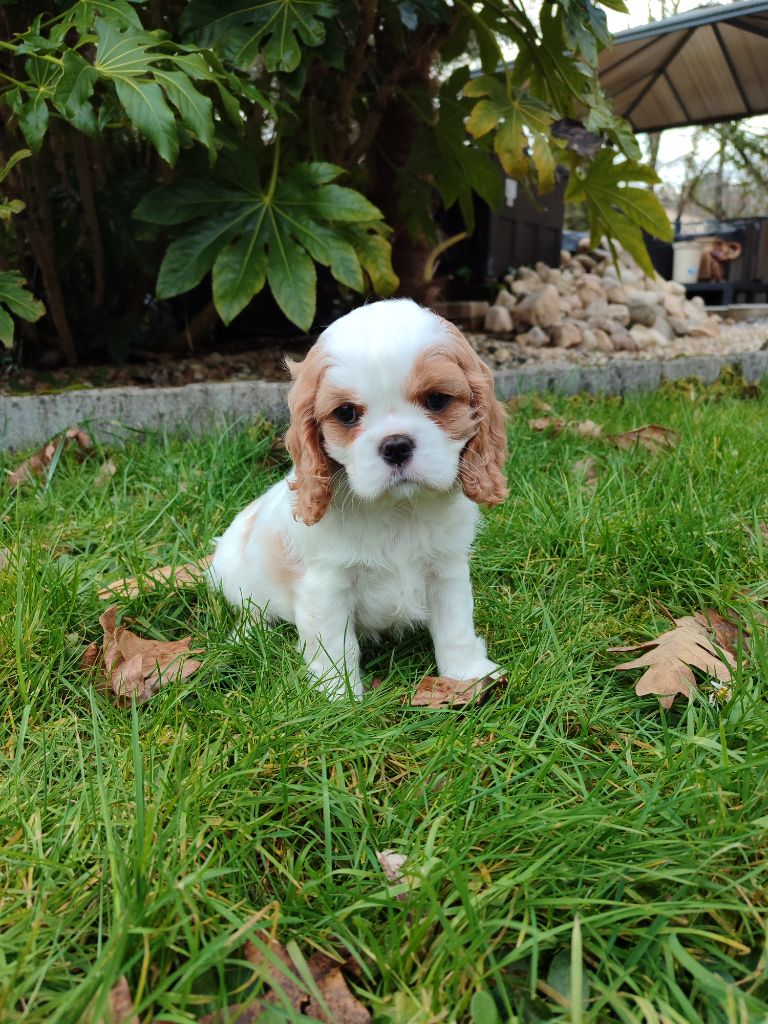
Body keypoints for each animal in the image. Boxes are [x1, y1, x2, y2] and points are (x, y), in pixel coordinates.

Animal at [210, 296, 512, 696]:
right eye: (346, 413)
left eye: (437, 400)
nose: (396, 445)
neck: (398, 510)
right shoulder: (327, 587)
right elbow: (337, 647)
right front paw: (340, 698)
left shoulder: (446, 570)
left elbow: (455, 627)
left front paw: (466, 676)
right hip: (235, 579)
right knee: (251, 612)